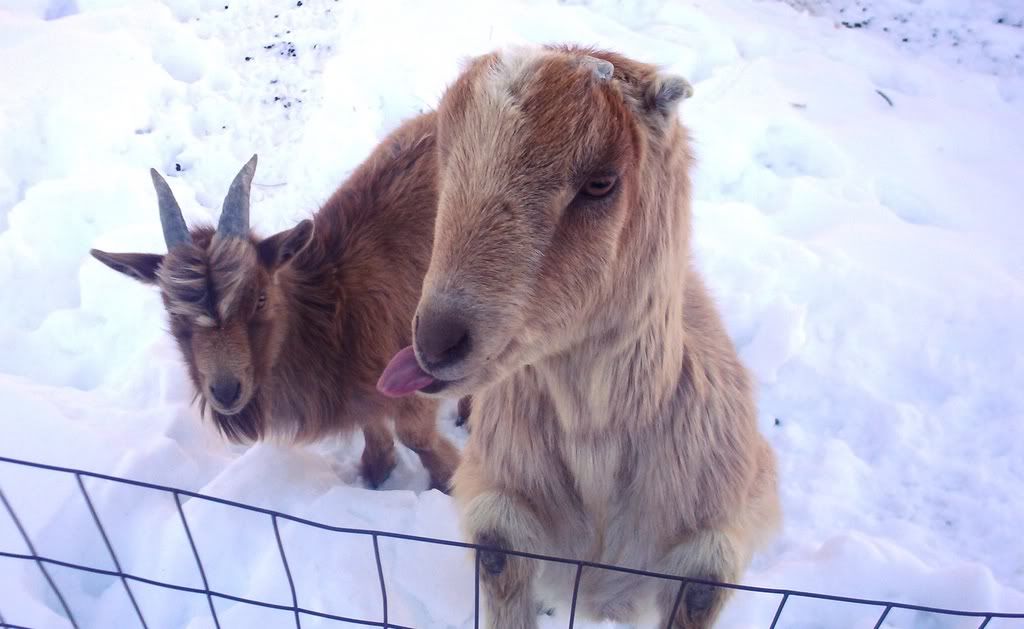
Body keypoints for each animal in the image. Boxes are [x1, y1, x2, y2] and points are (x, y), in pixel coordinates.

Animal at [92, 113, 464, 490]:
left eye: (259, 298)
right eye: (172, 311)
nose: (226, 392)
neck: (337, 310)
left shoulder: (417, 370)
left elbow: (416, 436)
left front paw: (448, 481)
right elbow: (370, 424)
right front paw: (376, 469)